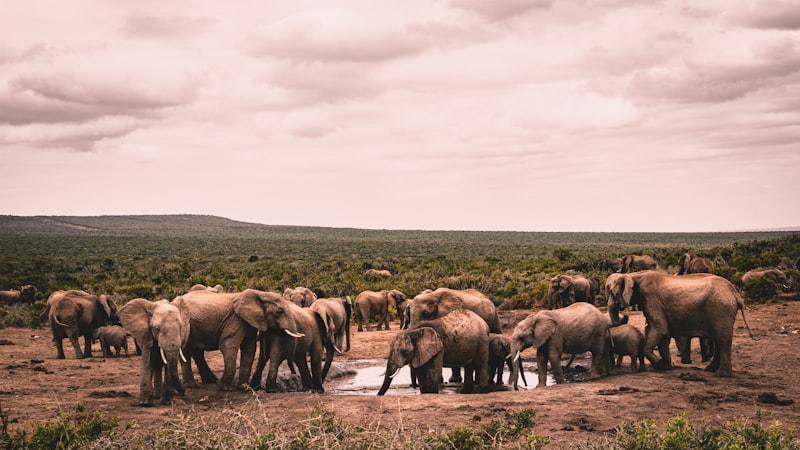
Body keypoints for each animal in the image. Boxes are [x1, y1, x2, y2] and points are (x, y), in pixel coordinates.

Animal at [606, 271, 756, 377]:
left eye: (612, 293)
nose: (625, 315)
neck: (634, 275)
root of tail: (736, 294)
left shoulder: (650, 297)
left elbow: (660, 328)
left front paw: (659, 364)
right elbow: (661, 331)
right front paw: (665, 367)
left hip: (720, 309)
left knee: (722, 340)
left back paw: (721, 375)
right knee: (719, 339)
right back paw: (710, 370)